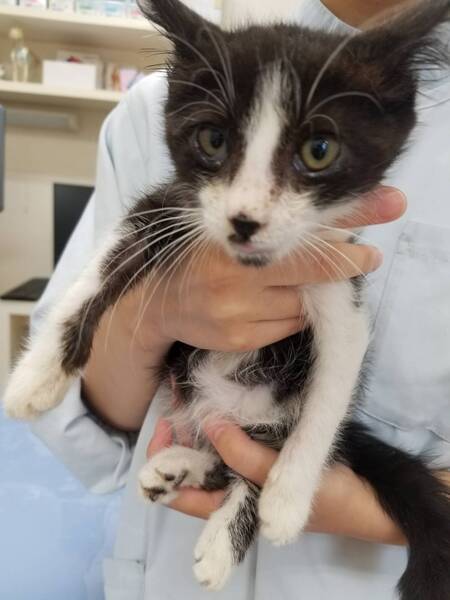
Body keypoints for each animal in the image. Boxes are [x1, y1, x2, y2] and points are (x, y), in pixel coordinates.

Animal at [3, 0, 450, 597]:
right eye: (212, 141)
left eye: (319, 151)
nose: (244, 220)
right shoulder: (169, 209)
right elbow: (101, 268)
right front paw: (37, 377)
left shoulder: (337, 272)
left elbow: (334, 382)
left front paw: (288, 497)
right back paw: (176, 468)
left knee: (251, 454)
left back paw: (221, 536)